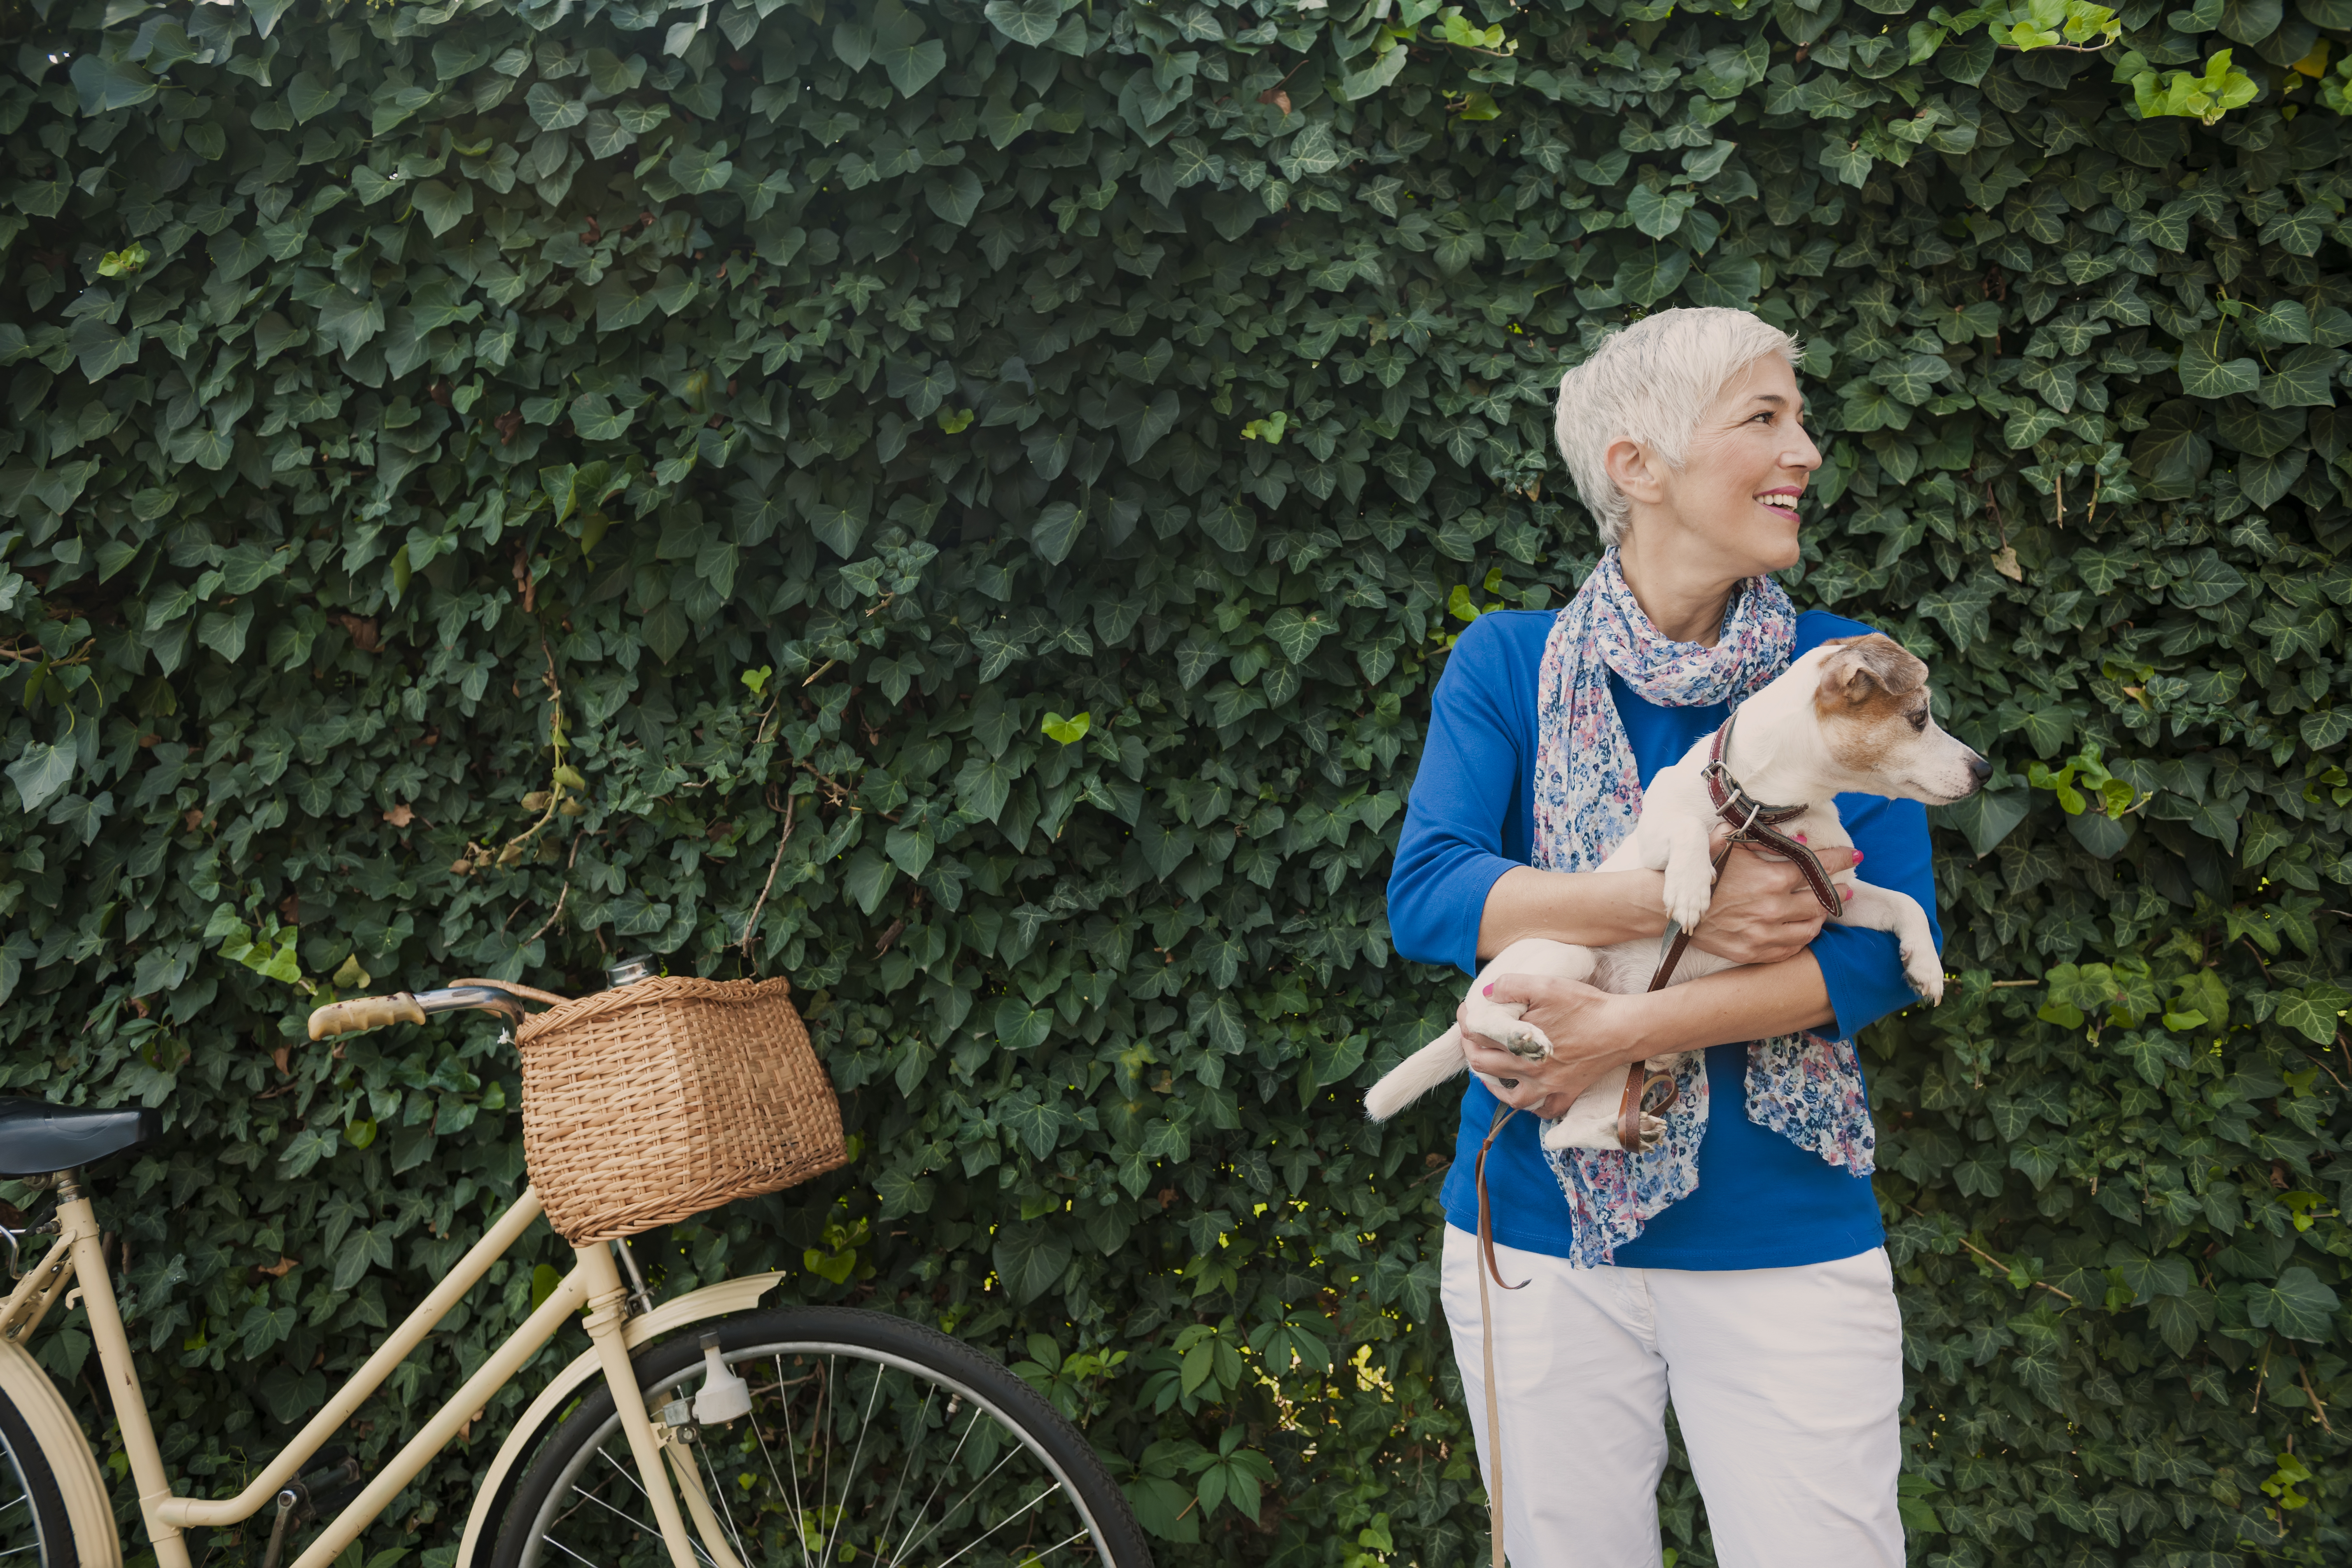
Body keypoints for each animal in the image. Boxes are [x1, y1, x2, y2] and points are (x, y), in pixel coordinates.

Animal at [1374, 630, 1994, 1161]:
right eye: (1919, 718)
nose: (1985, 769)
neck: (1759, 811)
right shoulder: (1657, 838)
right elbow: (1688, 829)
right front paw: (1693, 889)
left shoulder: (1834, 892)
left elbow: (1904, 903)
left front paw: (1926, 966)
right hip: (1563, 957)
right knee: (1482, 1009)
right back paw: (1519, 1034)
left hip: (1618, 1064)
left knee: (1563, 1133)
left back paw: (1621, 1129)